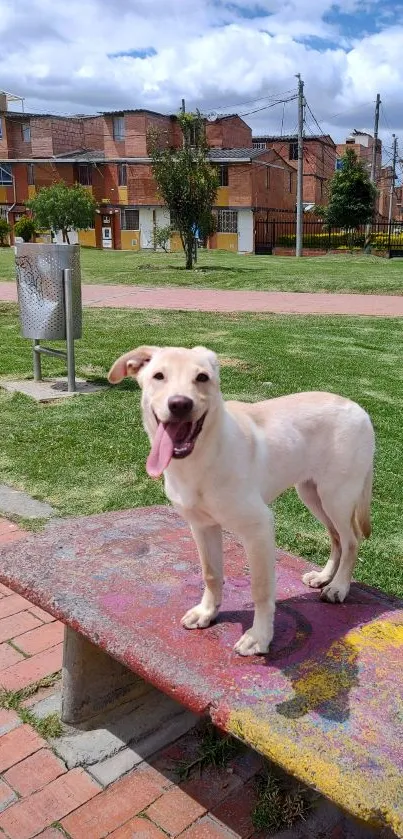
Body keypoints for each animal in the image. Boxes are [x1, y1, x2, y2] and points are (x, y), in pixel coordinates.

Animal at [108, 346, 376, 656]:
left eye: (202, 378)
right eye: (159, 376)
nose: (180, 404)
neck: (201, 459)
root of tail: (358, 408)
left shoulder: (258, 527)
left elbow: (260, 588)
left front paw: (259, 637)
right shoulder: (202, 526)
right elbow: (211, 573)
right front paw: (207, 612)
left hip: (337, 496)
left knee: (351, 540)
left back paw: (339, 587)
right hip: (311, 493)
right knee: (336, 537)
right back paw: (324, 577)